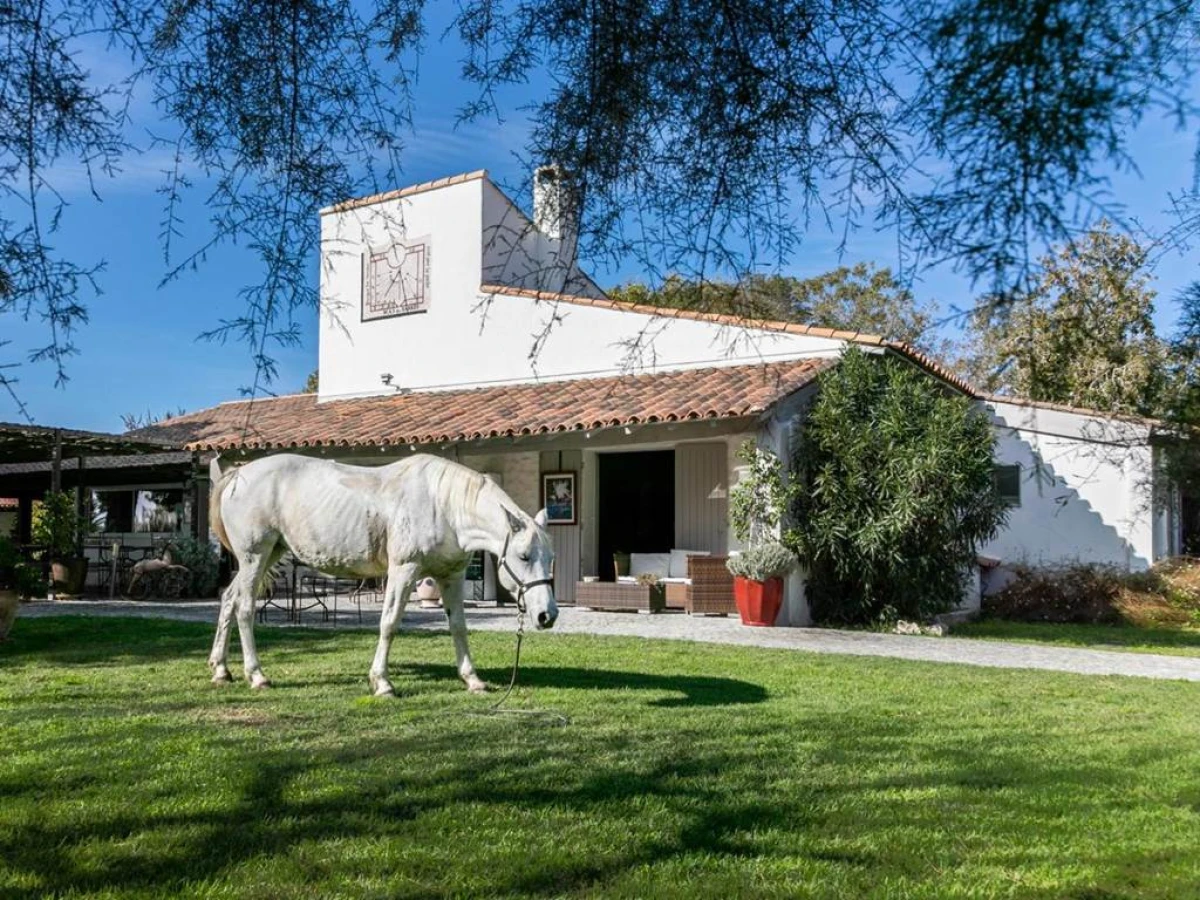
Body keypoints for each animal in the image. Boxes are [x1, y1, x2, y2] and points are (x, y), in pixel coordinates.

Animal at [205, 458, 556, 696]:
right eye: (524, 556)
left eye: (551, 557)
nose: (547, 615)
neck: (443, 505)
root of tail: (236, 475)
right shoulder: (403, 571)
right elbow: (389, 623)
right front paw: (382, 682)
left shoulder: (451, 577)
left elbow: (458, 626)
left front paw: (473, 679)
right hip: (254, 558)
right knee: (245, 608)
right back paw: (257, 675)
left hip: (267, 556)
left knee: (229, 600)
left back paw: (221, 669)